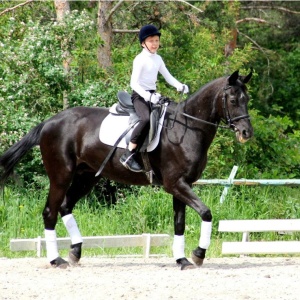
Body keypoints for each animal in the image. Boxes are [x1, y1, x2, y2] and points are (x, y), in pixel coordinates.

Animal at [0, 69, 253, 270]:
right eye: (232, 99)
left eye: (247, 98)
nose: (246, 132)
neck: (188, 128)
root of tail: (50, 122)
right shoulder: (175, 184)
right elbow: (206, 212)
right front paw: (198, 254)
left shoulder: (182, 185)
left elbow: (180, 223)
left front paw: (182, 260)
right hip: (61, 176)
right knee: (50, 212)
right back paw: (57, 260)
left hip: (86, 177)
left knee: (65, 207)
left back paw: (75, 252)